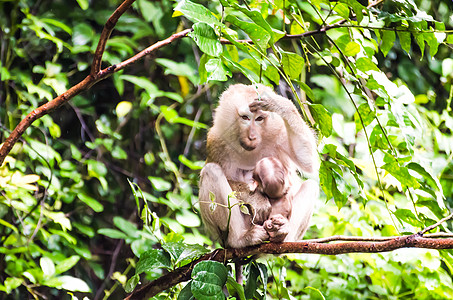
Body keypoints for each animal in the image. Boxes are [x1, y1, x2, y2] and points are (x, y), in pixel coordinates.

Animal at [198, 83, 318, 247]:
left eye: (259, 118)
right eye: (245, 117)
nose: (252, 137)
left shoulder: (280, 134)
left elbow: (308, 160)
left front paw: (279, 104)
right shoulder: (216, 141)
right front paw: (256, 199)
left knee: (311, 186)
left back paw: (282, 235)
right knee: (211, 171)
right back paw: (240, 239)